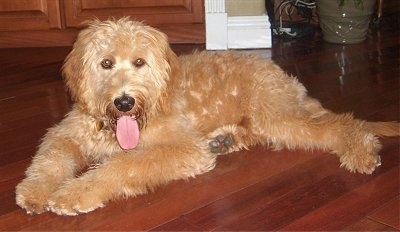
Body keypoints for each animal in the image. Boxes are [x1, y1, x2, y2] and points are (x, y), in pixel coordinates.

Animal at [14, 18, 398, 216]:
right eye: (105, 63)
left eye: (139, 62)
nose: (124, 102)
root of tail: (282, 73)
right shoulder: (67, 133)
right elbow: (49, 159)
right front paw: (34, 191)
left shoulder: (183, 148)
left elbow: (123, 165)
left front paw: (73, 195)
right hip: (269, 119)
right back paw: (225, 140)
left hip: (278, 115)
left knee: (343, 124)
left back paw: (361, 151)